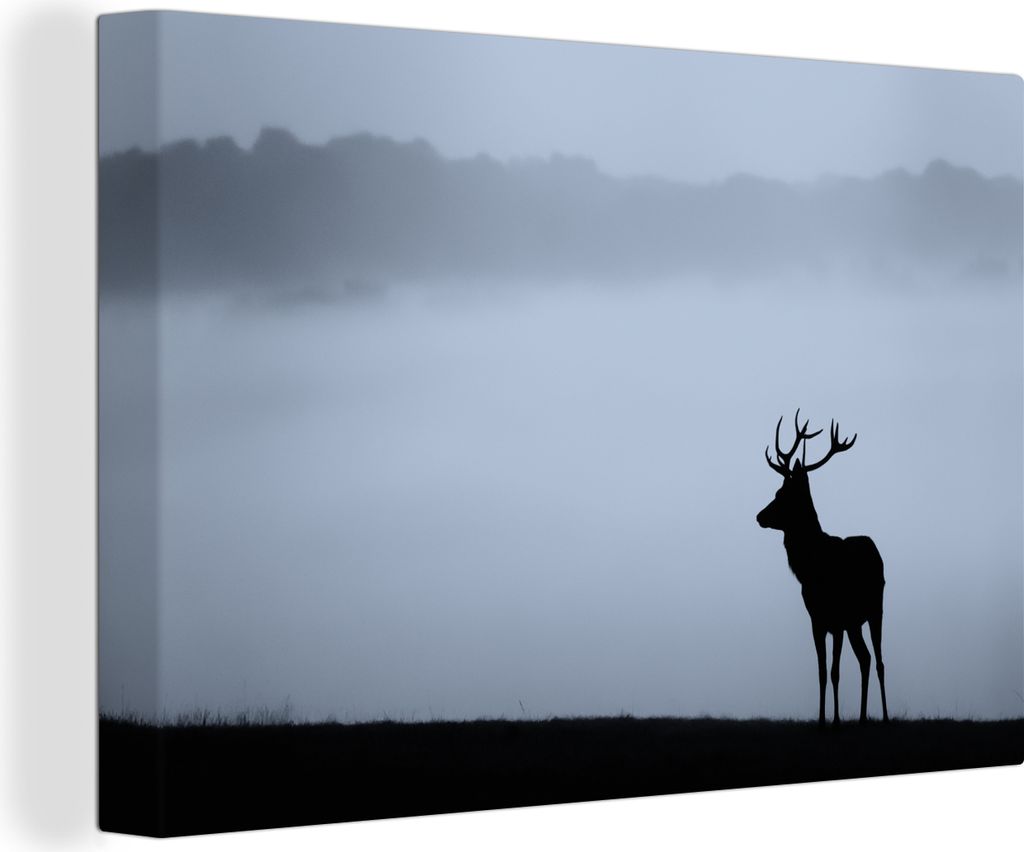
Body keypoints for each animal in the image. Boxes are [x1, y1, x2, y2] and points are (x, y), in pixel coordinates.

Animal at [756, 411, 889, 726]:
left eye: (782, 494)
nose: (759, 516)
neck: (811, 568)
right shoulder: (816, 620)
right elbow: (820, 672)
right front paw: (820, 719)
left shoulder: (837, 619)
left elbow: (835, 671)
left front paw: (837, 720)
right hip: (855, 623)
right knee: (865, 658)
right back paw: (863, 718)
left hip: (875, 609)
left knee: (879, 661)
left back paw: (885, 717)